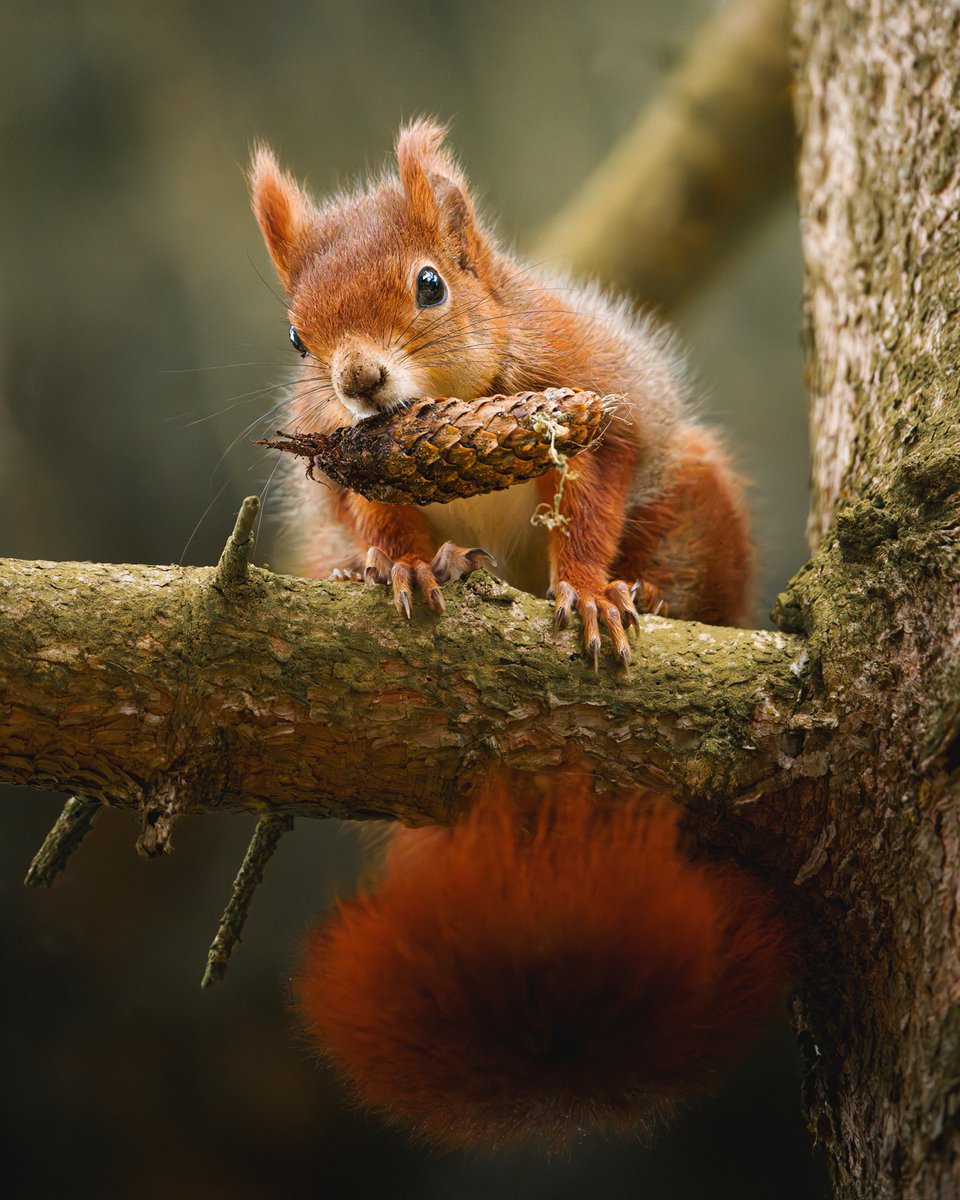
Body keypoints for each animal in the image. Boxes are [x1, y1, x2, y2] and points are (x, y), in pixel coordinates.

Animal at [249, 121, 788, 1151]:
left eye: (430, 284)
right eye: (294, 335)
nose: (358, 380)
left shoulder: (592, 397)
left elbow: (592, 498)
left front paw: (588, 592)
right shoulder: (346, 459)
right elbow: (375, 513)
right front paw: (403, 569)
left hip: (698, 504)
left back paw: (652, 592)